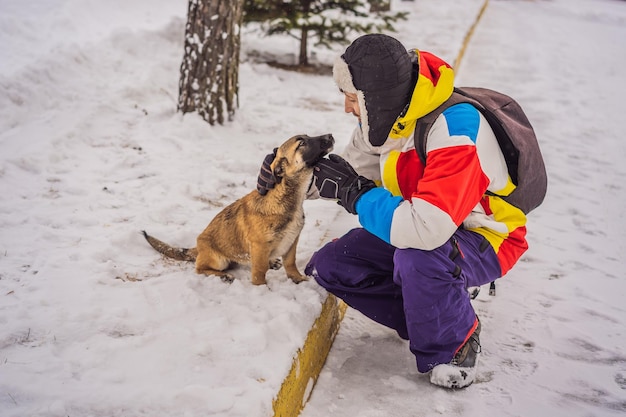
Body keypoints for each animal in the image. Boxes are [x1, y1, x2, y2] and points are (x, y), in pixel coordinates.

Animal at [142, 133, 334, 282]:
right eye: (301, 143)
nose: (330, 136)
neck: (286, 198)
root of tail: (198, 246)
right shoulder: (259, 246)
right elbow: (259, 273)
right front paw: (261, 290)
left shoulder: (291, 241)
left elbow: (290, 263)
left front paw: (298, 279)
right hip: (218, 260)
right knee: (200, 268)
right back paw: (223, 276)